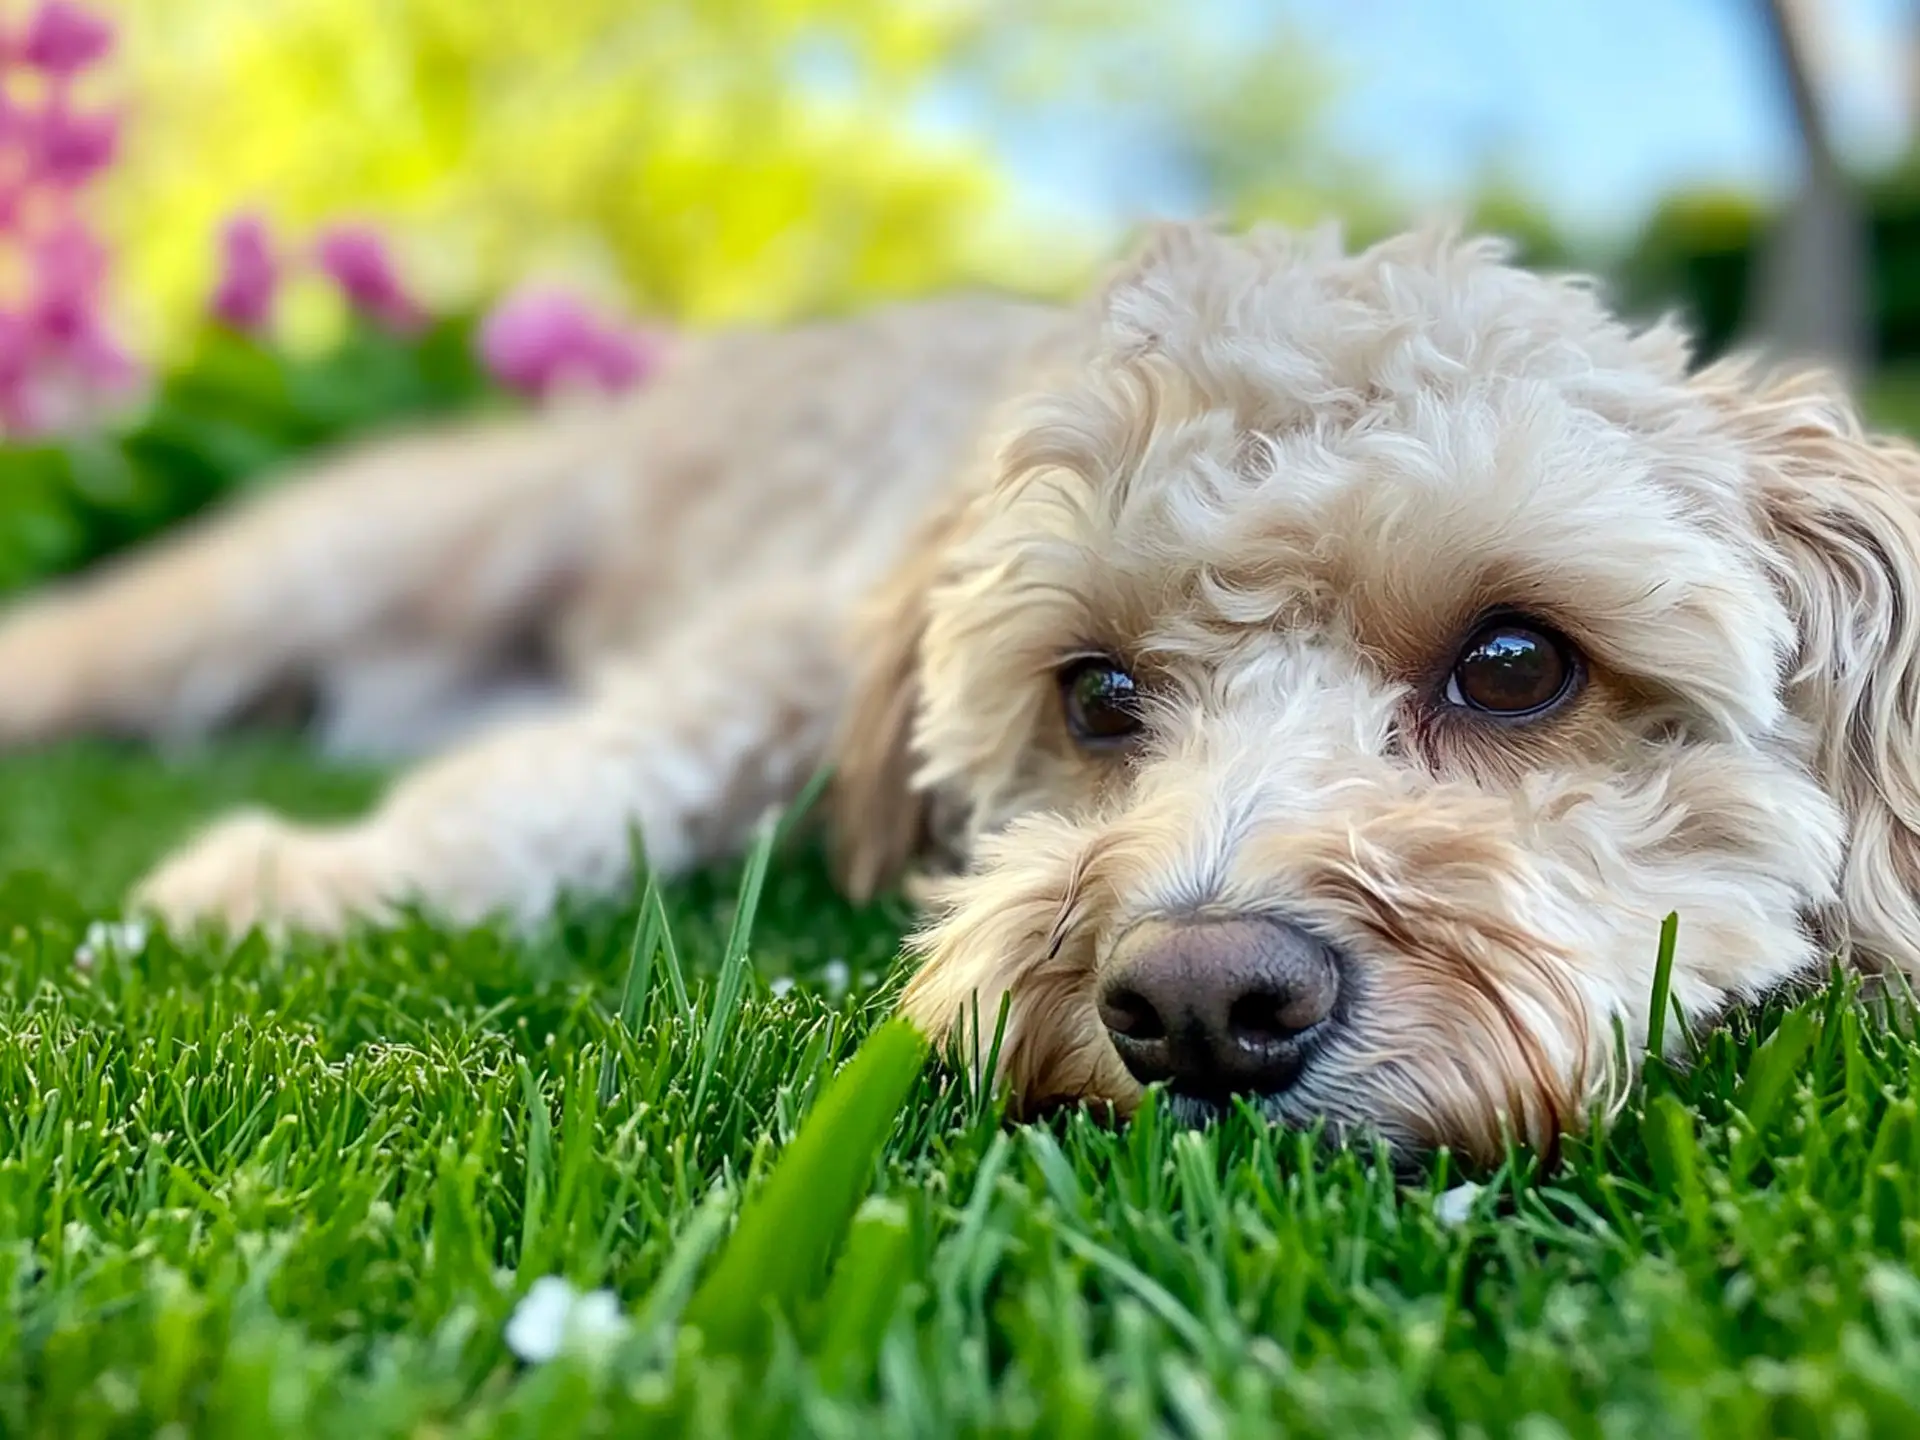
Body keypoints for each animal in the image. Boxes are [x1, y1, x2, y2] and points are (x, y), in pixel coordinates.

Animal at [3, 225, 1920, 1167]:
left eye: (1517, 664)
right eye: (1097, 692)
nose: (1202, 1008)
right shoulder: (790, 635)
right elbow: (582, 768)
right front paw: (305, 880)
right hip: (335, 561)